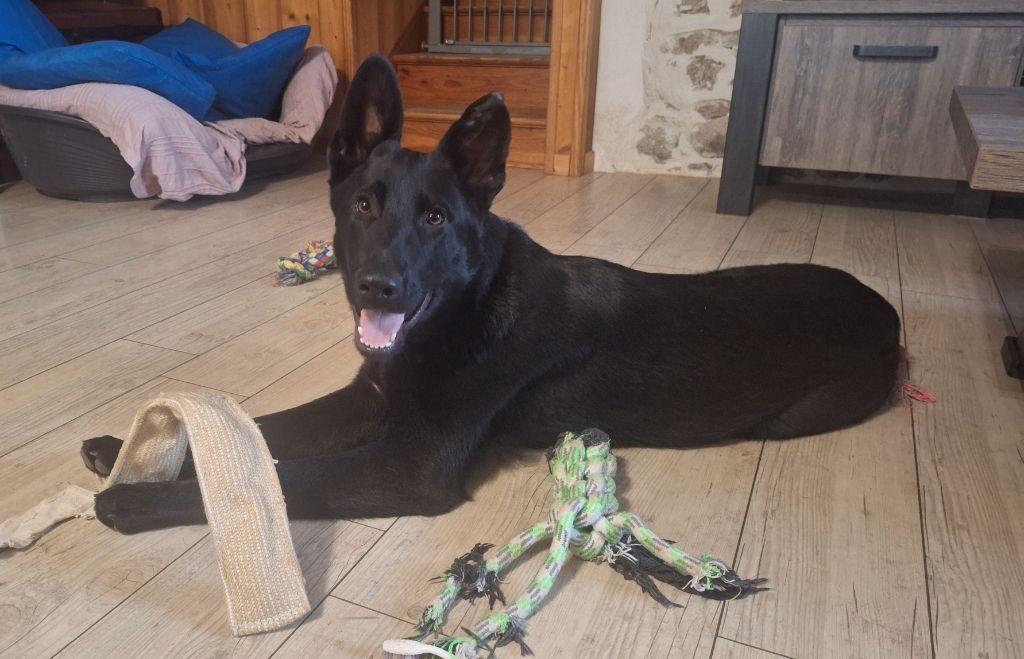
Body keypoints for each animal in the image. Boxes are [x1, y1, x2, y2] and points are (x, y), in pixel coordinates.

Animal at [82, 55, 902, 534]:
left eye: (436, 218)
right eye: (363, 206)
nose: (378, 286)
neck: (464, 312)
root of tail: (886, 310)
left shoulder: (407, 464)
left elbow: (286, 479)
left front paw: (134, 498)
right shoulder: (367, 399)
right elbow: (263, 427)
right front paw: (125, 450)